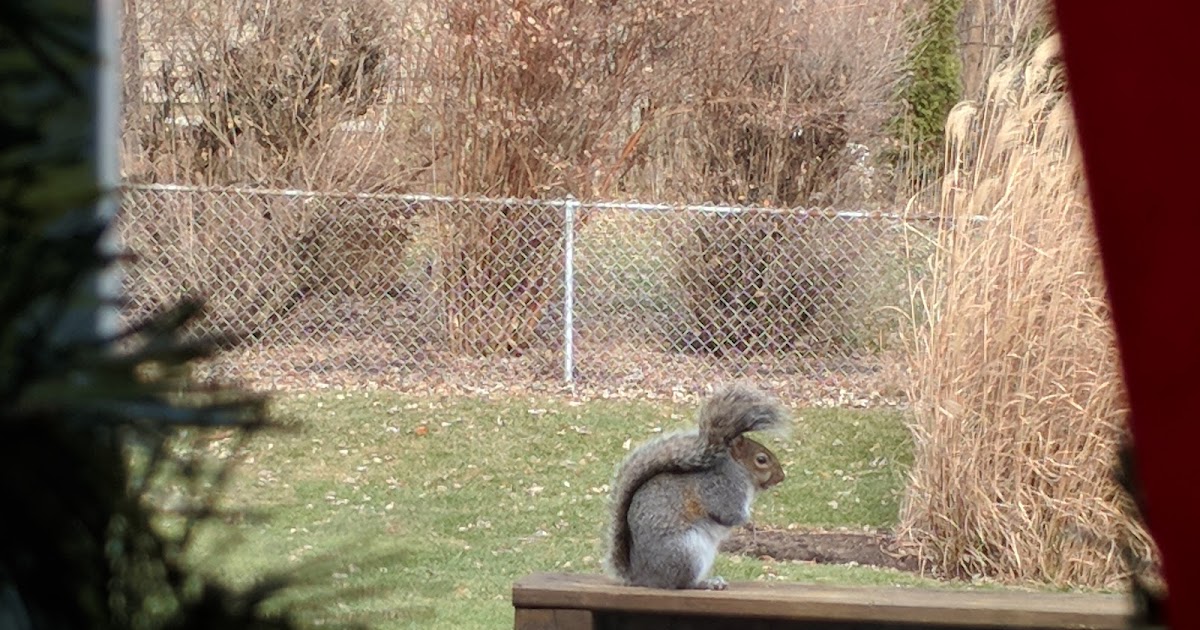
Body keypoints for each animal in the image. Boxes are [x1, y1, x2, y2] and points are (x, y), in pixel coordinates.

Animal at [602, 382, 789, 590]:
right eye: (761, 460)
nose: (781, 477)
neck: (740, 471)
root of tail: (642, 577)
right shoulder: (721, 489)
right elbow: (729, 514)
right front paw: (748, 521)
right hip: (687, 551)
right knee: (684, 583)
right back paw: (707, 583)